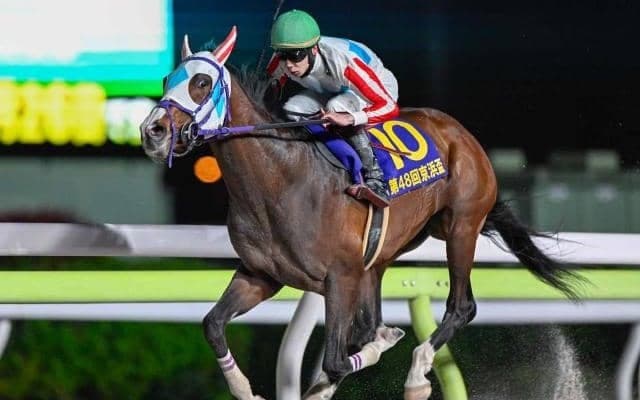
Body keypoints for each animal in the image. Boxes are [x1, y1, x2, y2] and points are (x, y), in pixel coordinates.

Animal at [140, 27, 581, 400]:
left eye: (201, 83)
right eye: (165, 80)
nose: (152, 131)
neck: (279, 181)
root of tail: (459, 132)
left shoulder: (341, 278)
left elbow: (339, 359)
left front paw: (383, 347)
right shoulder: (261, 276)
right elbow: (212, 324)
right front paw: (245, 389)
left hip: (461, 227)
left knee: (461, 307)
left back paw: (417, 375)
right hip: (384, 255)